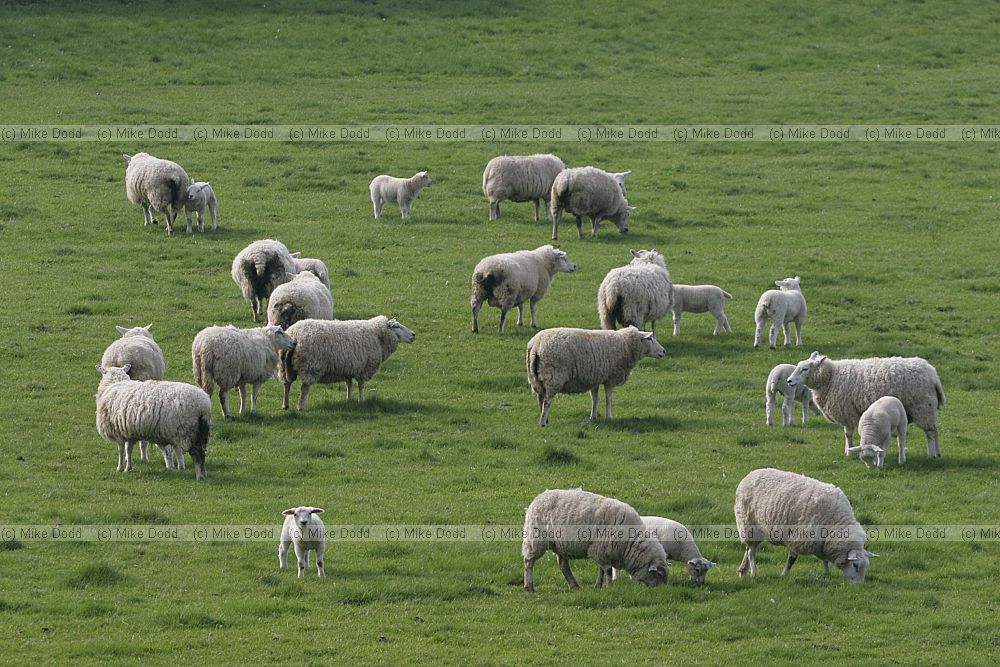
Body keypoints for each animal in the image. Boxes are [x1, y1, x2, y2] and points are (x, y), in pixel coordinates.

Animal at [280, 316, 415, 410]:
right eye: (396, 326)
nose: (414, 335)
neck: (377, 335)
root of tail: (295, 334)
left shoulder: (348, 368)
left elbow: (349, 384)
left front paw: (349, 399)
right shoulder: (364, 368)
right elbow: (361, 386)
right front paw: (362, 400)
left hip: (285, 367)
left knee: (287, 384)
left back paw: (285, 405)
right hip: (310, 366)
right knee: (304, 388)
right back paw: (301, 407)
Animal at [522, 488, 668, 592]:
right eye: (658, 575)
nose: (661, 590)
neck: (629, 543)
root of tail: (538, 498)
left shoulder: (602, 552)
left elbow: (601, 570)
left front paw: (598, 586)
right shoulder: (601, 550)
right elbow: (608, 571)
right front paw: (610, 588)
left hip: (561, 545)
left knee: (563, 565)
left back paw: (574, 585)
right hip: (536, 539)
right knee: (528, 561)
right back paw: (529, 587)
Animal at [526, 326, 665, 427]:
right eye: (649, 339)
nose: (664, 351)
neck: (626, 344)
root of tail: (536, 345)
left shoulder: (594, 378)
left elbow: (595, 399)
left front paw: (593, 417)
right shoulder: (610, 378)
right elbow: (609, 399)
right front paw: (609, 417)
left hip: (536, 378)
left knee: (540, 399)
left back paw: (545, 419)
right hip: (554, 377)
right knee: (547, 402)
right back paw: (543, 423)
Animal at [734, 467, 877, 583]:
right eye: (855, 565)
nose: (859, 586)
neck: (836, 522)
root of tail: (750, 475)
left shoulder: (822, 542)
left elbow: (825, 560)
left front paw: (828, 573)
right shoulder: (798, 537)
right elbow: (791, 560)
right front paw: (784, 574)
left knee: (748, 549)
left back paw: (743, 571)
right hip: (748, 525)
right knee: (751, 552)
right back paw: (753, 572)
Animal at [786, 351, 944, 458]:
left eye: (805, 369)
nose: (789, 381)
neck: (830, 378)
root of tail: (933, 374)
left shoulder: (847, 412)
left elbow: (847, 434)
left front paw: (848, 453)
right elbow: (846, 434)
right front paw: (847, 451)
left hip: (922, 408)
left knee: (930, 432)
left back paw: (931, 453)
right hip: (928, 408)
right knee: (935, 430)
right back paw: (937, 453)